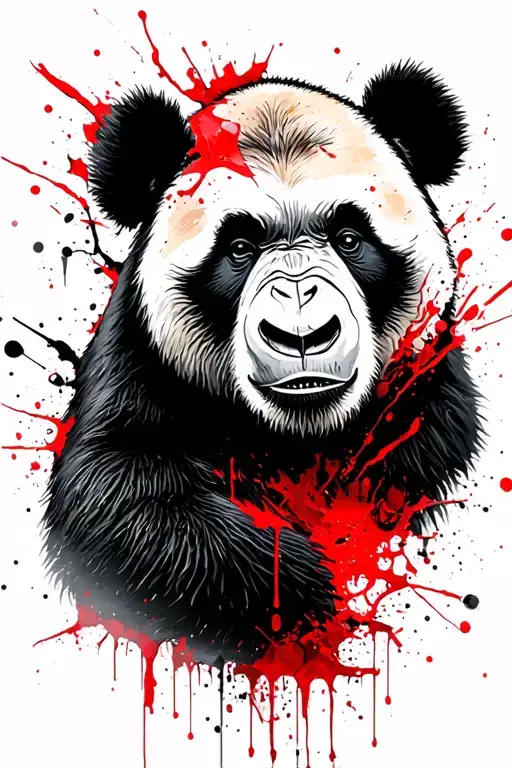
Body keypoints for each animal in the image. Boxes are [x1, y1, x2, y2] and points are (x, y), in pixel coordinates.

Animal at [42, 60, 483, 665]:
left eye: (350, 238)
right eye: (238, 249)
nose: (302, 335)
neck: (299, 439)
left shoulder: (427, 403)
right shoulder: (141, 367)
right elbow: (122, 495)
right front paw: (303, 592)